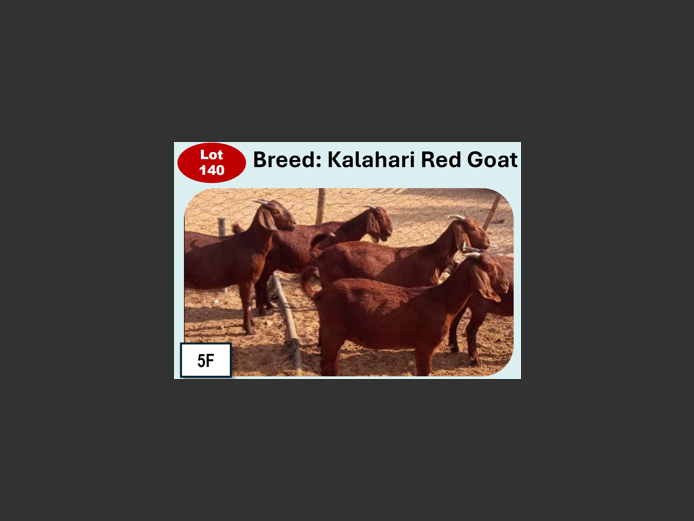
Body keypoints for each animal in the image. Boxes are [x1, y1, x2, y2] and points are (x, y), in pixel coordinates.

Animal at [184, 200, 296, 335]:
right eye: (275, 211)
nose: (294, 223)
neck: (251, 244)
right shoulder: (245, 280)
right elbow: (246, 303)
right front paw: (249, 329)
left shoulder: (251, 280)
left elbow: (248, 302)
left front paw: (251, 324)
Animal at [235, 205, 393, 316]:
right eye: (379, 216)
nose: (389, 232)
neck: (344, 231)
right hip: (269, 264)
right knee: (260, 283)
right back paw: (262, 309)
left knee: (262, 283)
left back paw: (268, 305)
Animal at [304, 252, 510, 376]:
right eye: (491, 268)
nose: (507, 284)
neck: (443, 301)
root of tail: (320, 294)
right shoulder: (425, 344)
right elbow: (425, 371)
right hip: (334, 330)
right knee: (326, 365)